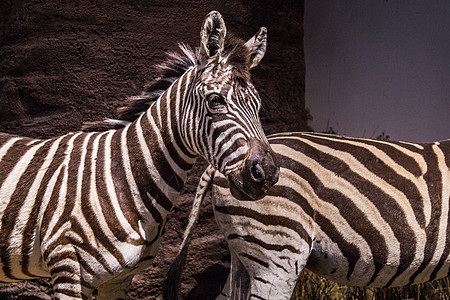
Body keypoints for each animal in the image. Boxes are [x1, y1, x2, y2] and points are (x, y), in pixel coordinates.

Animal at [0, 10, 280, 298]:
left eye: (257, 105)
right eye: (216, 100)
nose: (267, 172)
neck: (128, 181)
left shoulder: (120, 279)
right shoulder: (67, 267)